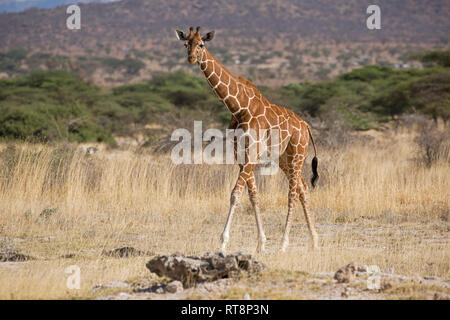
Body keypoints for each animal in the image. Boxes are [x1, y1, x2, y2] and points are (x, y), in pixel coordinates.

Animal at [174, 26, 318, 252]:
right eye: (185, 44)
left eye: (202, 44)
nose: (191, 58)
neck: (239, 107)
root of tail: (306, 126)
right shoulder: (241, 157)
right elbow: (253, 196)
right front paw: (261, 243)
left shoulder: (251, 156)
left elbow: (235, 194)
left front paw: (223, 243)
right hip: (284, 159)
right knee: (303, 189)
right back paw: (314, 241)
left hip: (297, 154)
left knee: (293, 192)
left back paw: (284, 244)